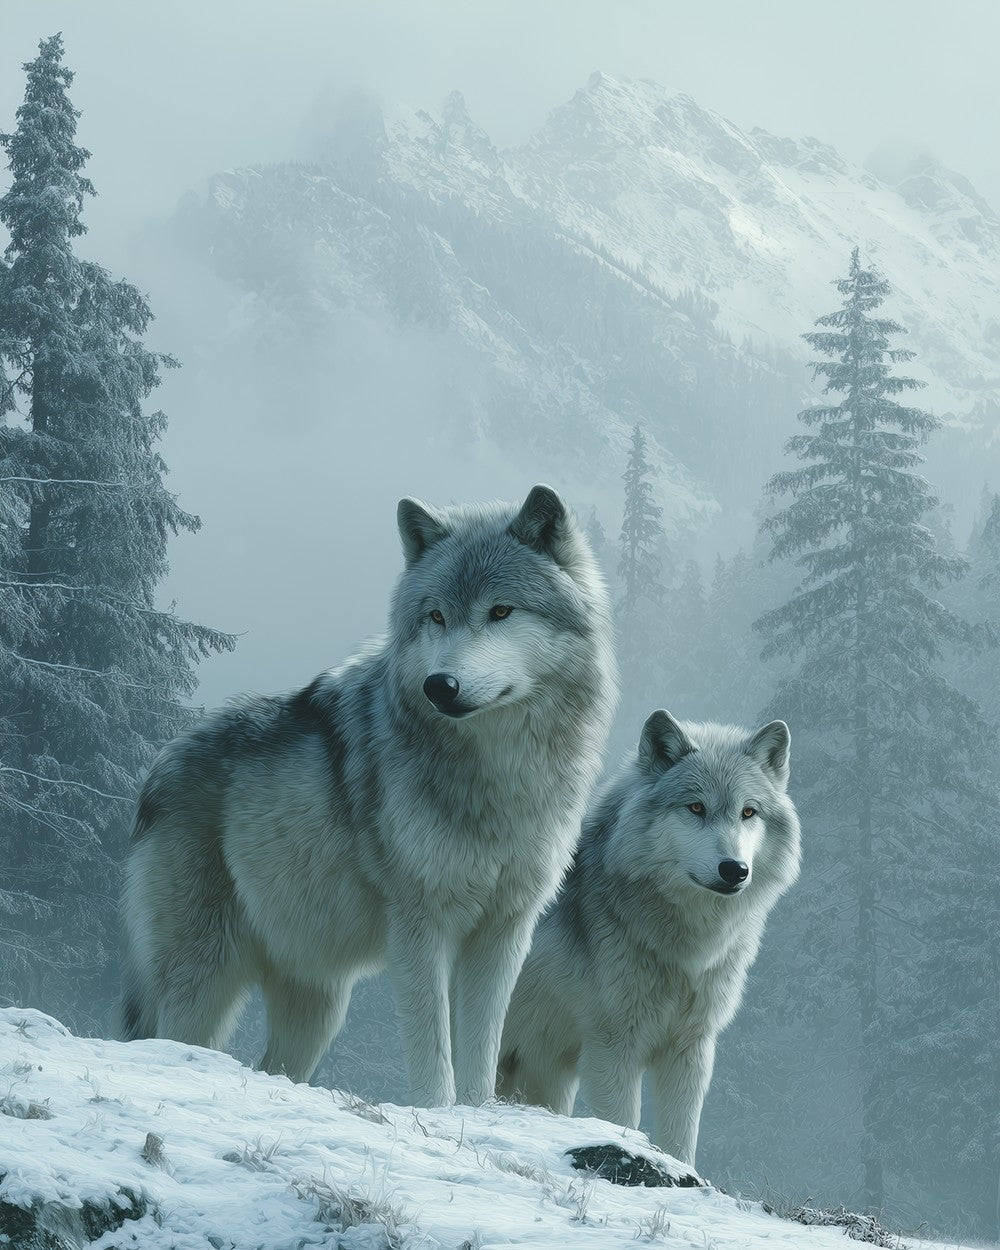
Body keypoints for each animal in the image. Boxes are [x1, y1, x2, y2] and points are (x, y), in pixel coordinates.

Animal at [119, 485, 616, 1107]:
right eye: (436, 615)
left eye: (501, 611)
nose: (440, 686)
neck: (500, 778)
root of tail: (159, 764)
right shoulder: (421, 926)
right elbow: (433, 1055)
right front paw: (437, 1112)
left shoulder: (504, 933)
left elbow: (481, 1057)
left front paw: (477, 1114)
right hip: (204, 982)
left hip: (318, 1007)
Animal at [497, 709, 800, 1165]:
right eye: (696, 807)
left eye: (749, 812)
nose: (734, 869)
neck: (685, 949)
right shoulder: (612, 1047)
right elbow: (623, 1121)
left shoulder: (690, 1049)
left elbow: (680, 1140)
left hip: (541, 1074)